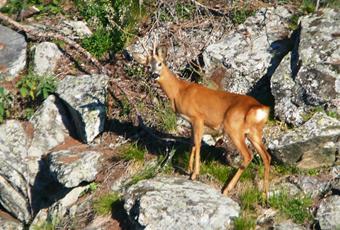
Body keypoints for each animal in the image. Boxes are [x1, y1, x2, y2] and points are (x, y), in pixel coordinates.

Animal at [145, 44, 270, 198]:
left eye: (160, 63)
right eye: (147, 66)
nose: (154, 75)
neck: (178, 91)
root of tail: (260, 109)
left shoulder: (198, 117)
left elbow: (198, 144)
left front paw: (194, 174)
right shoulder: (191, 122)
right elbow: (192, 143)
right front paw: (189, 169)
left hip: (234, 128)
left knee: (248, 155)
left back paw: (227, 189)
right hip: (254, 132)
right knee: (266, 157)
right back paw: (265, 194)